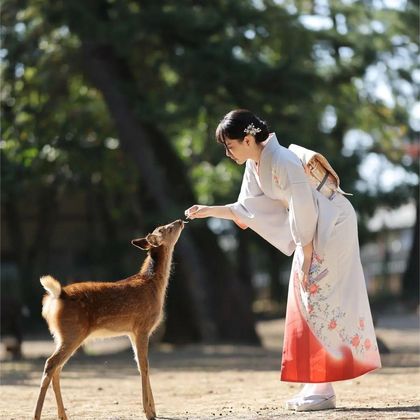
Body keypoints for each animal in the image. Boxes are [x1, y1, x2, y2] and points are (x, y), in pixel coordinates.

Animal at [33, 220, 188, 420]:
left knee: (57, 369)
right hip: (73, 332)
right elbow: (144, 366)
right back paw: (37, 415)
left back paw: (62, 415)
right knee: (51, 364)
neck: (153, 286)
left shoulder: (132, 331)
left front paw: (153, 409)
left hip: (62, 335)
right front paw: (148, 412)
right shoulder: (143, 327)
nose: (180, 221)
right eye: (166, 229)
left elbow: (141, 365)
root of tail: (57, 295)